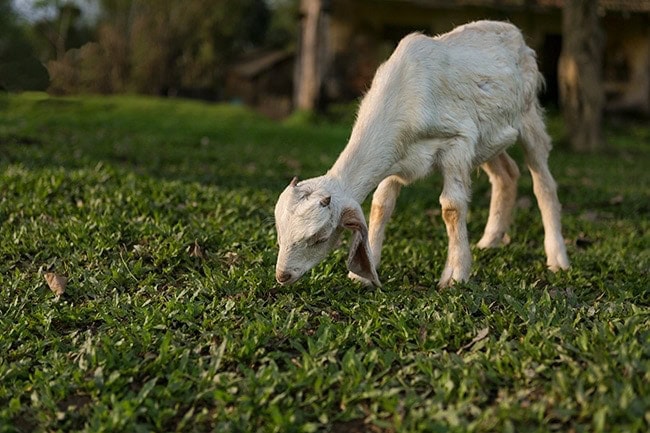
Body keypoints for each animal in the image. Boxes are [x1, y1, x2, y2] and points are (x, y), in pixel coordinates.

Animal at [274, 22, 568, 288]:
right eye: (279, 231)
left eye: (320, 238)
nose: (282, 275)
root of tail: (513, 31)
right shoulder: (397, 159)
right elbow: (381, 205)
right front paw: (363, 274)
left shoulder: (459, 141)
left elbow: (452, 207)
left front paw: (455, 276)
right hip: (489, 138)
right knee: (506, 174)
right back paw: (489, 241)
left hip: (528, 116)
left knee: (543, 183)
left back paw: (557, 259)